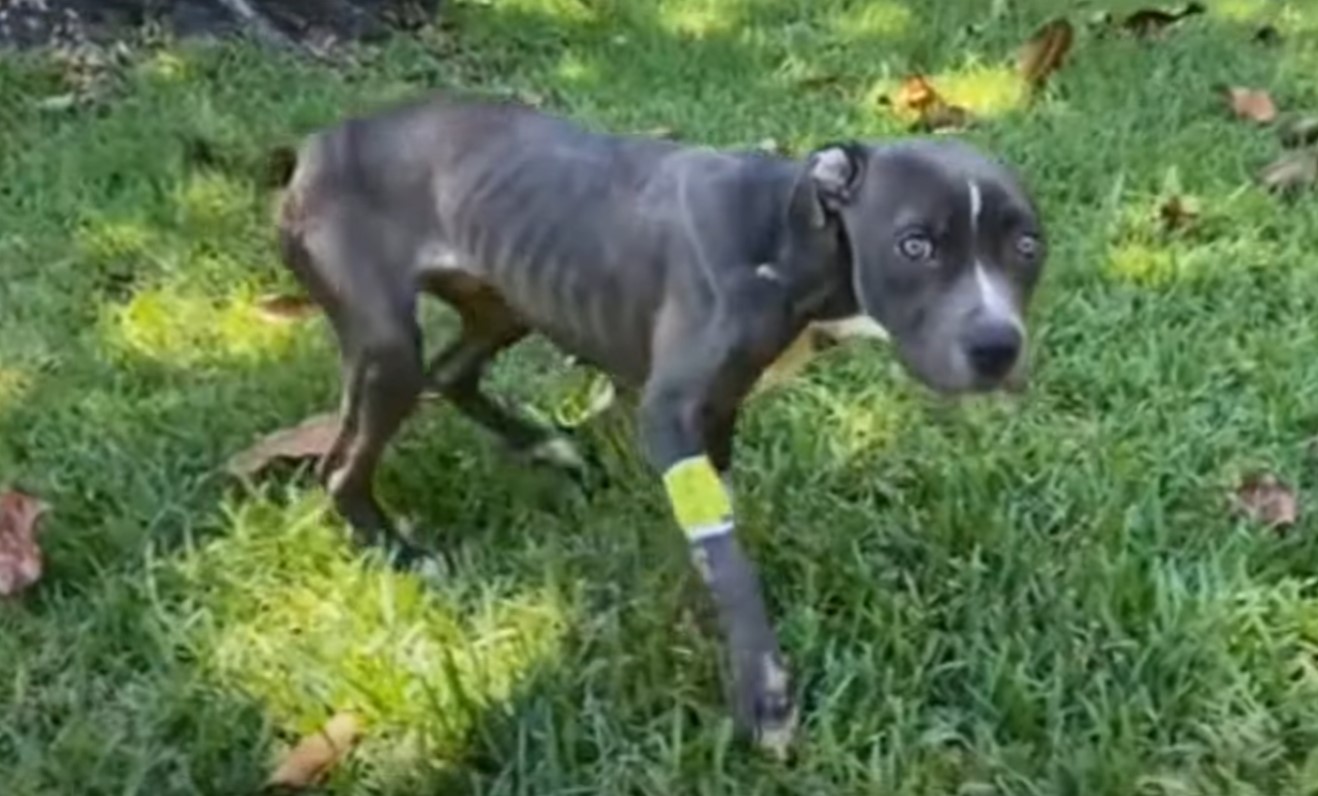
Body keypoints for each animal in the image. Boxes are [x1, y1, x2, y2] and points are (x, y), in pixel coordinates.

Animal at [270, 90, 1049, 753]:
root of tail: (315, 146)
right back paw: (402, 553)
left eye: (1027, 247)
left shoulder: (719, 412)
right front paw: (764, 694)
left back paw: (544, 446)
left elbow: (712, 538)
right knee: (341, 464)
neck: (792, 235)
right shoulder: (671, 416)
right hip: (385, 346)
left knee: (453, 373)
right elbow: (726, 557)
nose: (997, 346)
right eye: (915, 244)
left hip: (502, 299)